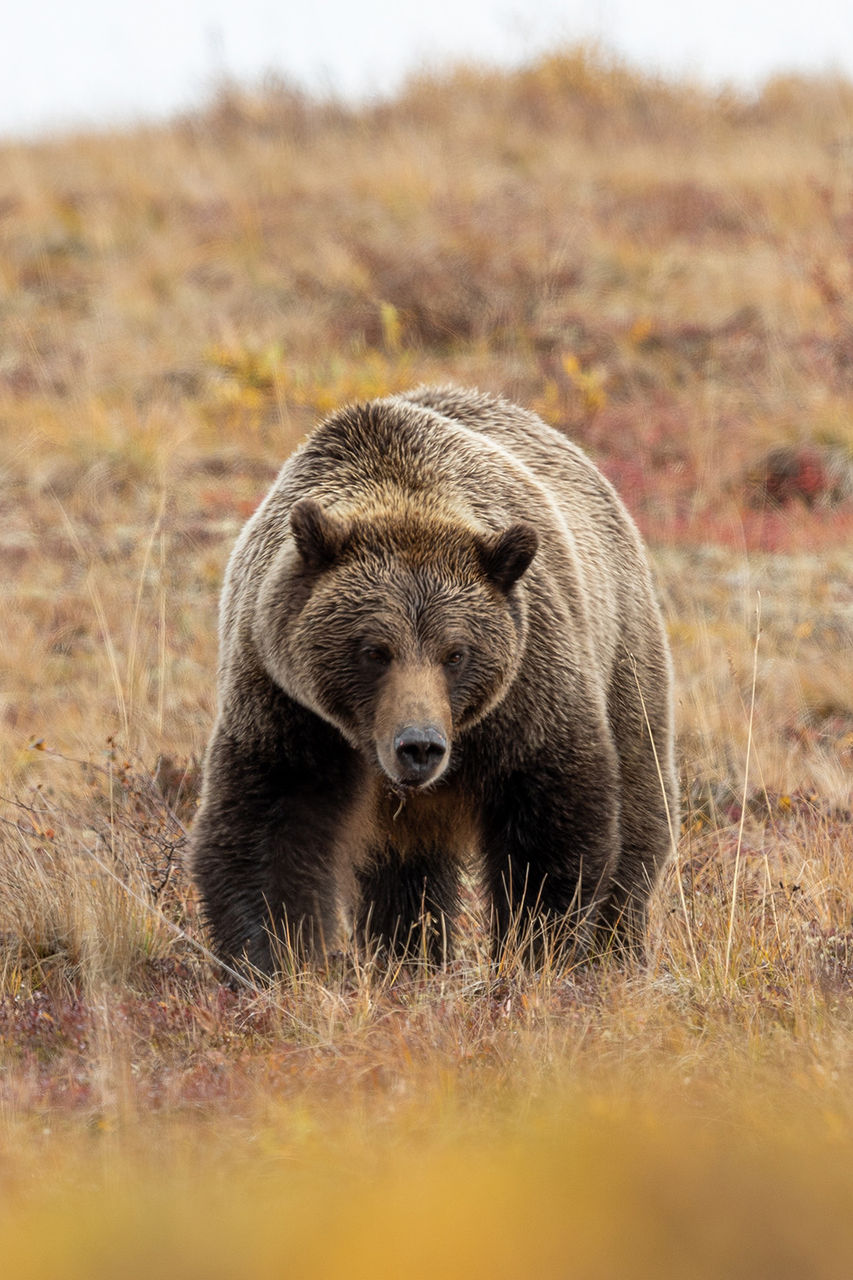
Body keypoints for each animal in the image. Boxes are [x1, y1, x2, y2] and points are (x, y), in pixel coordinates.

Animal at [191, 385, 678, 973]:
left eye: (456, 653)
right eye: (374, 650)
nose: (419, 745)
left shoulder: (529, 693)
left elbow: (553, 825)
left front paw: (535, 950)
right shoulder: (286, 701)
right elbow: (268, 825)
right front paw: (274, 959)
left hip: (624, 649)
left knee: (640, 803)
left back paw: (616, 946)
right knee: (407, 873)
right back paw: (409, 955)